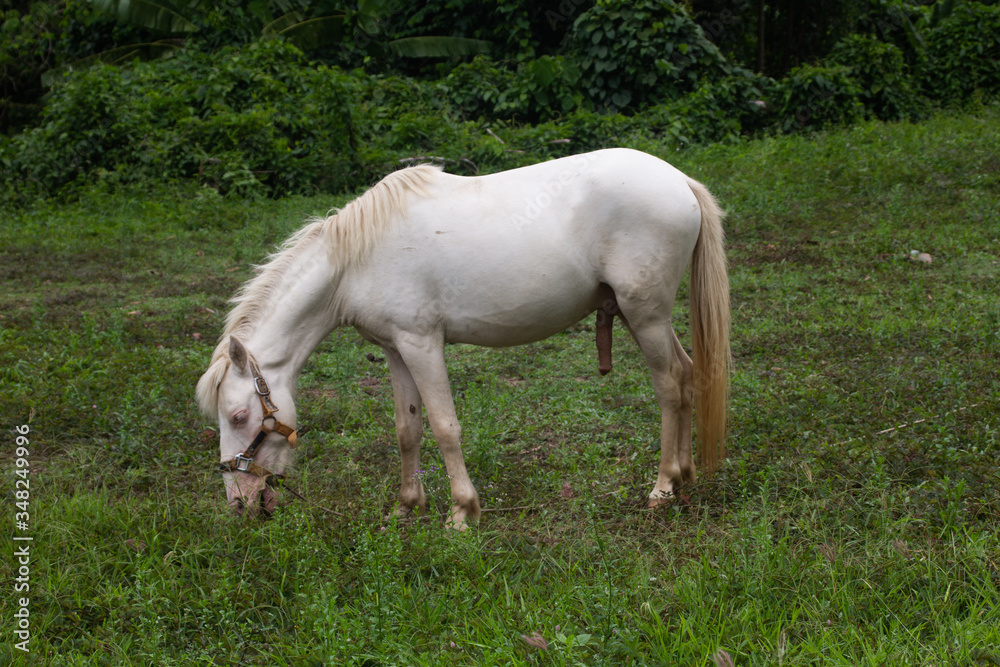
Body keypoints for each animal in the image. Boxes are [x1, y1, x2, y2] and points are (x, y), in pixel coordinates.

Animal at [196, 148, 731, 529]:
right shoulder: (395, 349)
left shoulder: (422, 344)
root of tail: (678, 180)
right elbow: (407, 428)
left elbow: (444, 427)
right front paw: (406, 506)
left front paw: (461, 513)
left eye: (239, 416)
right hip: (650, 318)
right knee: (688, 377)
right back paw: (685, 477)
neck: (355, 261)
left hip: (646, 316)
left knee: (670, 386)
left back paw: (662, 487)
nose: (239, 505)